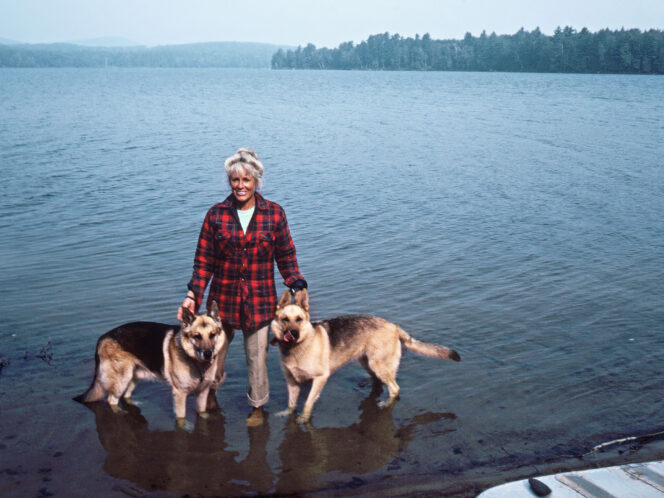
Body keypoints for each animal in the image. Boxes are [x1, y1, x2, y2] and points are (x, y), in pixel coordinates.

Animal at [75, 302, 230, 422]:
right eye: (197, 336)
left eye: (212, 335)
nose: (208, 354)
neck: (195, 361)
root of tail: (102, 338)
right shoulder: (180, 394)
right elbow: (181, 419)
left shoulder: (202, 393)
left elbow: (202, 412)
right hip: (121, 380)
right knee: (111, 400)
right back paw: (120, 412)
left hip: (133, 378)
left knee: (126, 396)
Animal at [272, 290, 462, 422]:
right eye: (285, 319)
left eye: (299, 319)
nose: (292, 334)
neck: (297, 347)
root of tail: (393, 326)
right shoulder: (292, 382)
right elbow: (291, 404)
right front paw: (287, 414)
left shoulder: (320, 379)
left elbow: (307, 403)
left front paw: (303, 419)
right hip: (368, 363)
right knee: (380, 382)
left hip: (378, 365)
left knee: (395, 388)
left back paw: (385, 404)